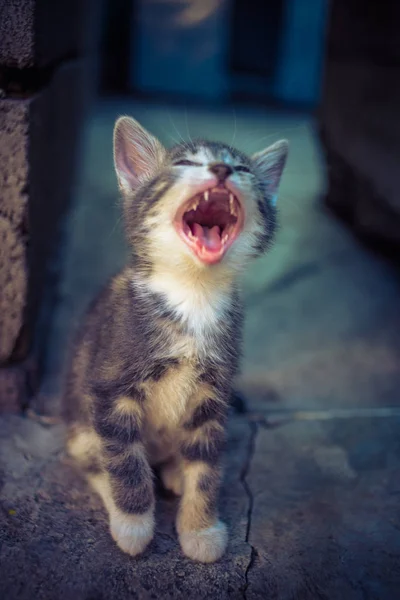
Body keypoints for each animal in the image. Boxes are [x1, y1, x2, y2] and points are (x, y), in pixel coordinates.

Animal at [63, 117, 288, 564]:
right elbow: (124, 460)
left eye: (244, 169)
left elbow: (206, 468)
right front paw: (134, 524)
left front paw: (200, 528)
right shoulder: (110, 387)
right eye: (185, 163)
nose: (222, 170)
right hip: (79, 422)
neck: (193, 297)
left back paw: (174, 471)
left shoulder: (213, 396)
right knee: (93, 459)